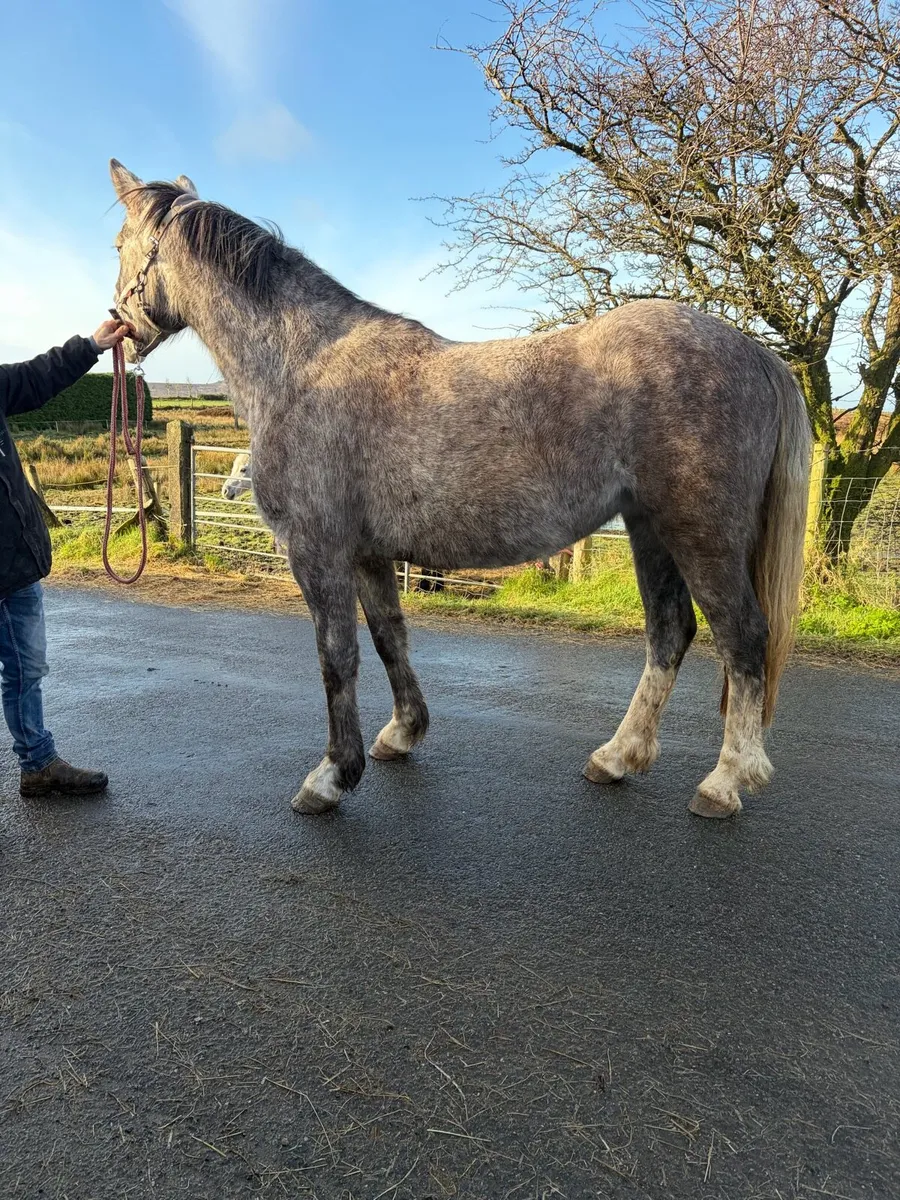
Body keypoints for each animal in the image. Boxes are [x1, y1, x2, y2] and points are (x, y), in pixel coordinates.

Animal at [109, 160, 811, 820]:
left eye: (118, 244)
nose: (119, 326)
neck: (303, 365)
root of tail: (756, 353)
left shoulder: (317, 551)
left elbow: (337, 657)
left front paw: (332, 777)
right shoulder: (368, 554)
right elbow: (389, 637)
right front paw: (401, 734)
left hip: (702, 536)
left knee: (743, 638)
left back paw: (724, 782)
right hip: (650, 531)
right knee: (669, 634)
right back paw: (617, 757)